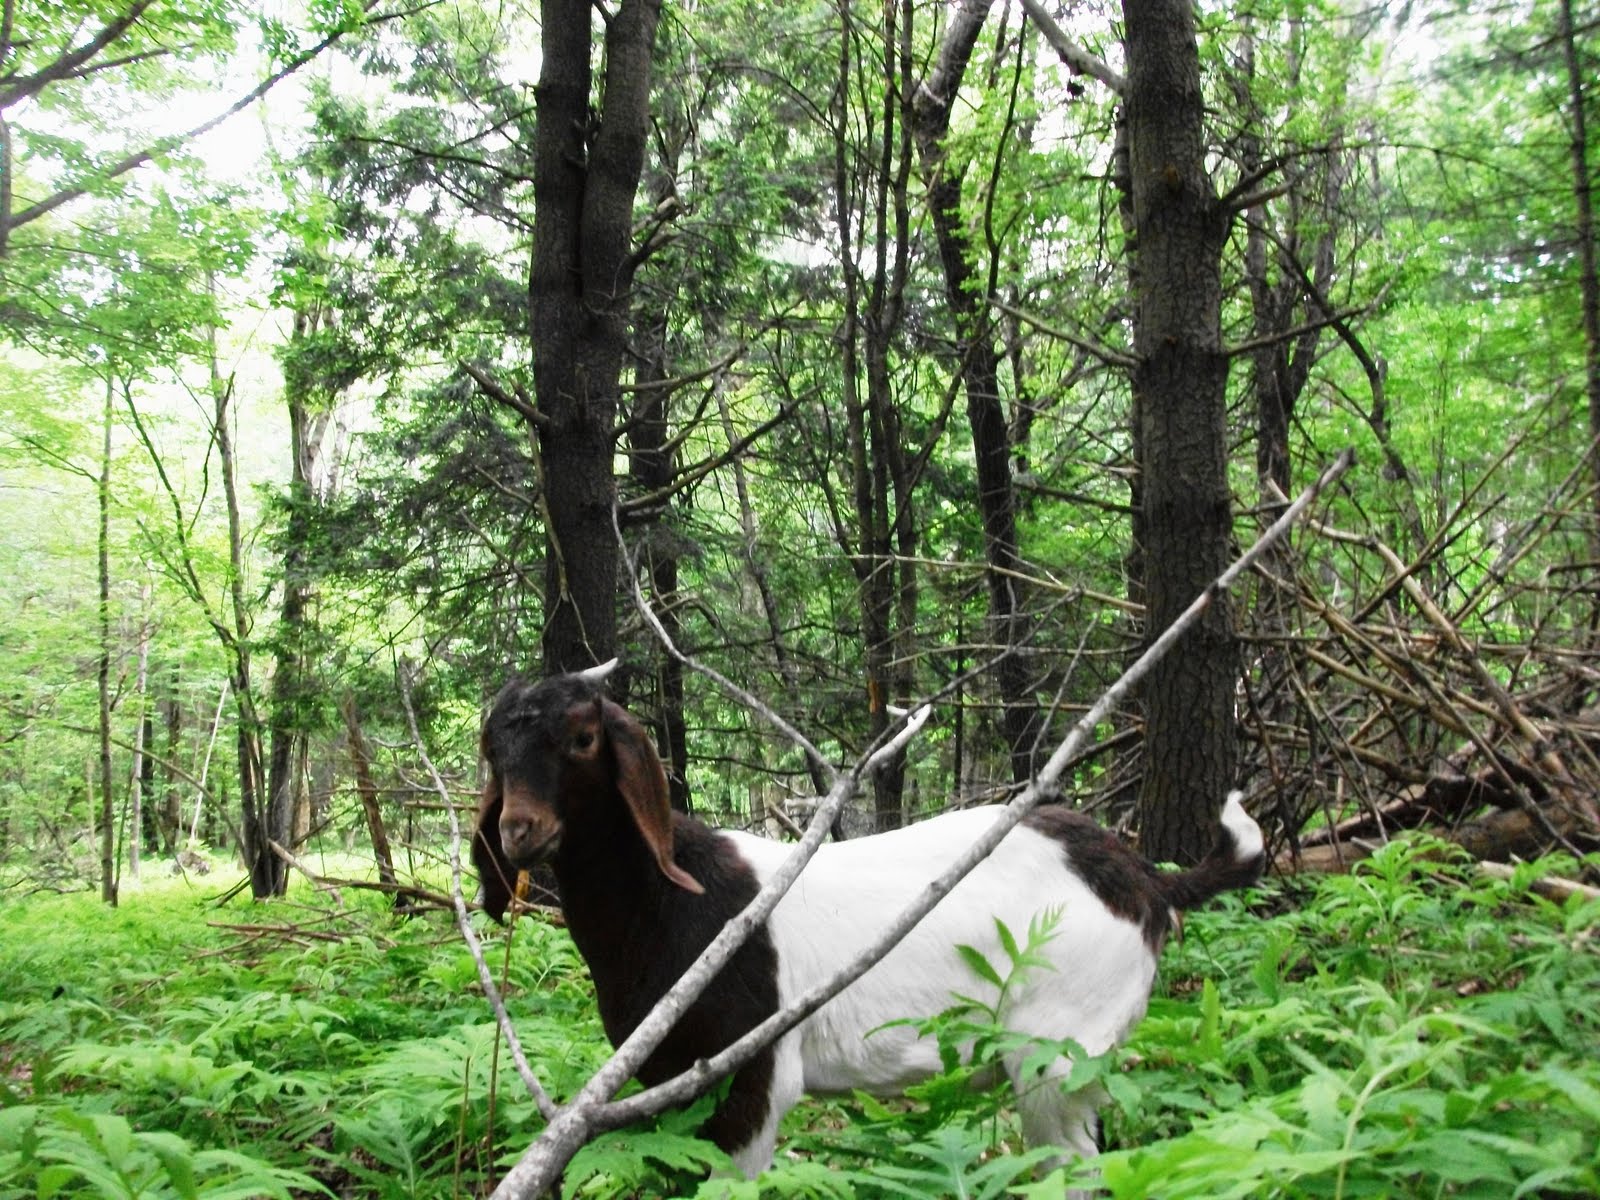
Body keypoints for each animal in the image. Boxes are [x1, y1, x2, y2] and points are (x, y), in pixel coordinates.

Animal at [473, 661, 1264, 1184]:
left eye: (582, 738)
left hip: (1057, 1051)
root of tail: (1144, 881)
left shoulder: (753, 1082)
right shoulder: (668, 1092)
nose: (519, 831)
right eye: (494, 750)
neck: (668, 905)